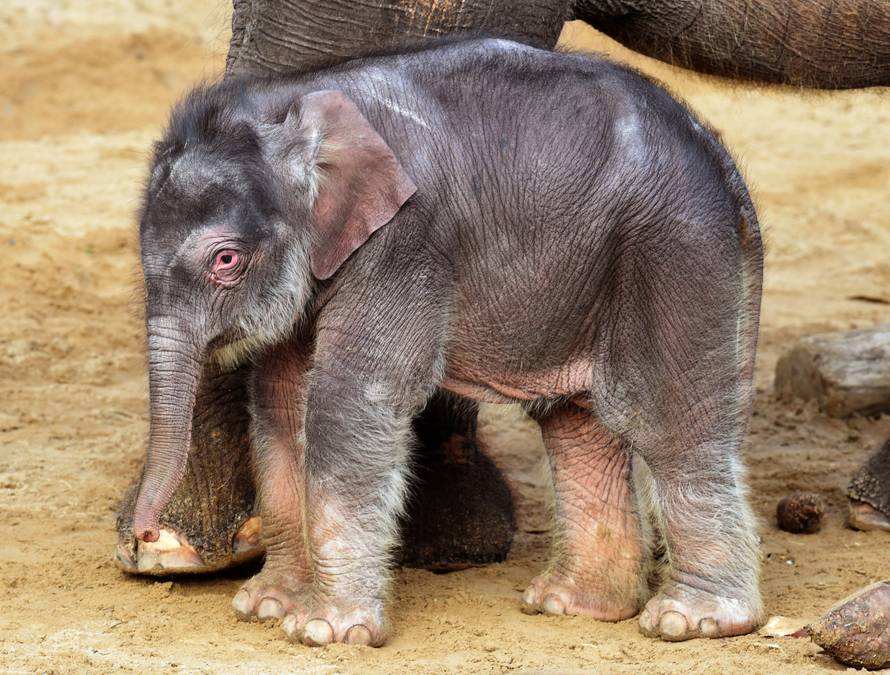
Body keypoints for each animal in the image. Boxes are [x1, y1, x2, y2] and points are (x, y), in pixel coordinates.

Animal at [132, 39, 764, 645]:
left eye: (226, 261)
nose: (146, 534)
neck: (291, 100)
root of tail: (721, 156)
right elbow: (279, 402)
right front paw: (267, 607)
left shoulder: (404, 244)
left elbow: (349, 401)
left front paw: (323, 631)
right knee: (575, 424)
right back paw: (575, 605)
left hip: (675, 251)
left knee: (669, 425)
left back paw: (694, 621)